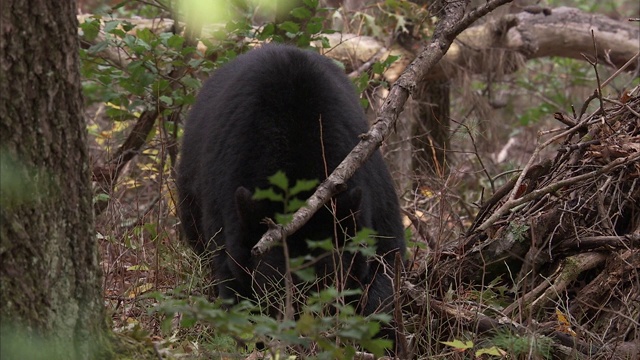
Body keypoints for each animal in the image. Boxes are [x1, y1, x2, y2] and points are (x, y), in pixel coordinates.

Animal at [176, 43, 404, 352]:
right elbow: (233, 282)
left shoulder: (370, 196)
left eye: (328, 288)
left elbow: (385, 266)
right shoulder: (227, 205)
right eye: (274, 292)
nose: (303, 343)